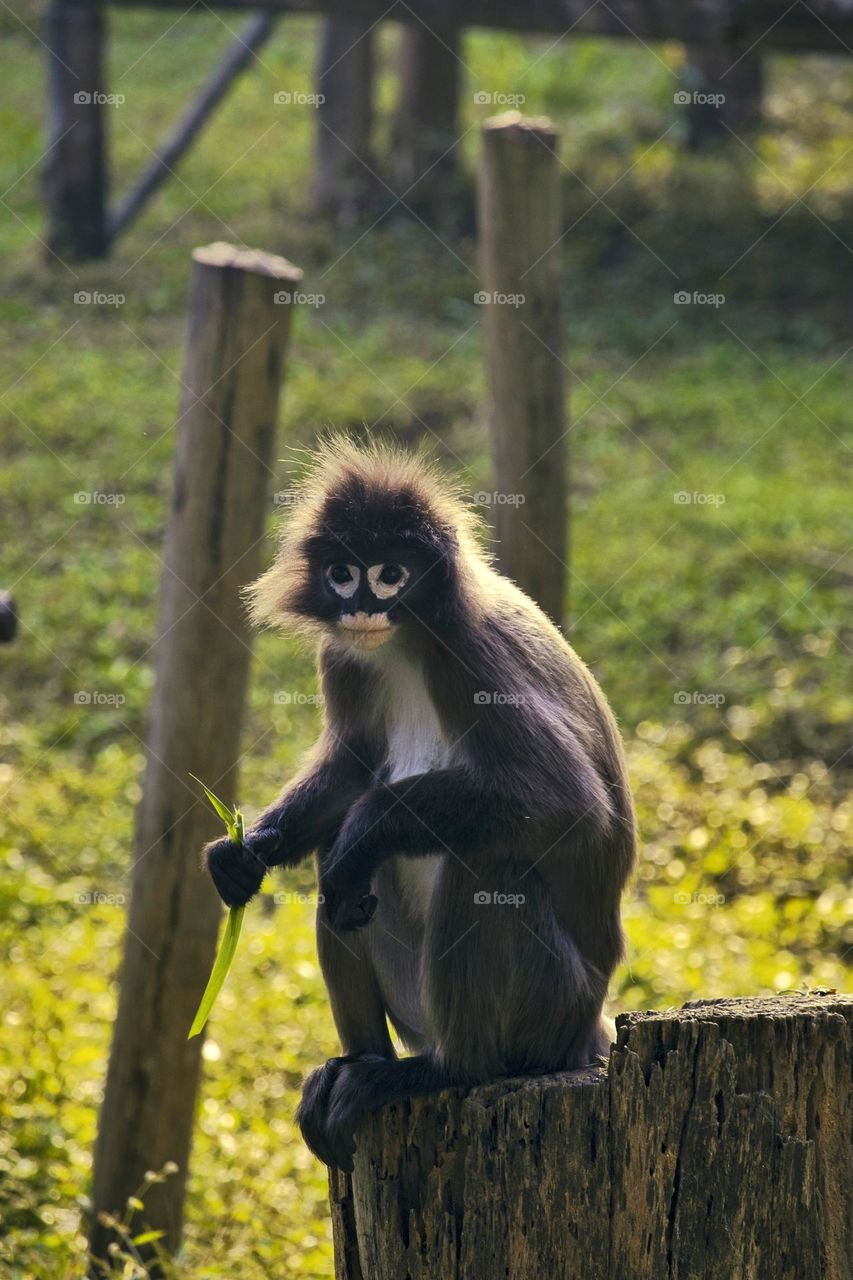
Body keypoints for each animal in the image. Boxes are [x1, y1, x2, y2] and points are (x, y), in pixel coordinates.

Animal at [204, 439, 636, 1172]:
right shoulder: (345, 658)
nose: (361, 608)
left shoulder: (473, 656)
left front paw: (364, 829)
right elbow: (351, 767)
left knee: (485, 863)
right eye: (342, 574)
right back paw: (359, 1062)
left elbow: (567, 801)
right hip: (417, 1007)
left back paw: (444, 1071)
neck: (406, 642)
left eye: (390, 574)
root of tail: (589, 1029)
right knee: (340, 874)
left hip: (553, 1004)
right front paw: (243, 854)